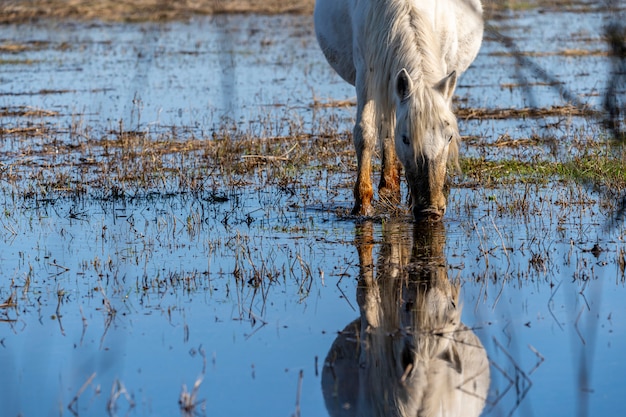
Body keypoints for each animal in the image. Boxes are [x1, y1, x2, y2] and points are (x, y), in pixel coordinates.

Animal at [314, 0, 480, 221]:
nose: (430, 211)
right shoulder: (366, 75)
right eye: (406, 139)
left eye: (450, 137)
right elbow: (365, 134)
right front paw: (363, 205)